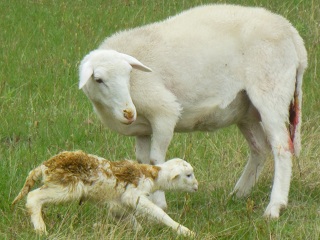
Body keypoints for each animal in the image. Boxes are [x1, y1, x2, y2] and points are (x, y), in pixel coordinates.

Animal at [11, 151, 198, 235]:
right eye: (189, 175)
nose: (197, 186)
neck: (152, 175)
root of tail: (44, 166)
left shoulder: (119, 203)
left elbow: (128, 218)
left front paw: (136, 231)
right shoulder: (134, 194)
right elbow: (158, 212)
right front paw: (185, 231)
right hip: (68, 187)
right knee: (33, 197)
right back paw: (40, 229)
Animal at [77, 3, 308, 218]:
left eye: (128, 74)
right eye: (98, 79)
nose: (129, 113)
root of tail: (293, 35)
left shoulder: (164, 112)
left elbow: (155, 161)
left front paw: (160, 204)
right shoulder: (143, 128)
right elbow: (143, 163)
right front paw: (144, 201)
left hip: (271, 90)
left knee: (281, 147)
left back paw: (274, 207)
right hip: (245, 110)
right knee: (260, 147)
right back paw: (239, 194)